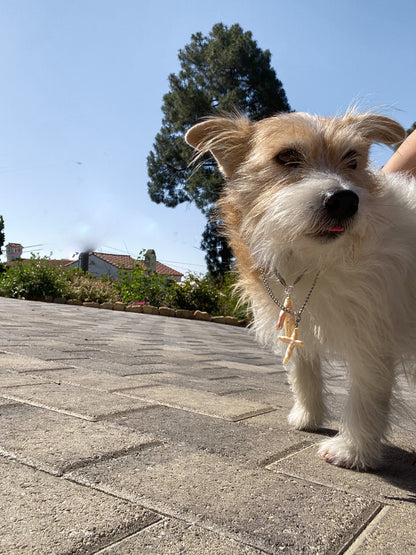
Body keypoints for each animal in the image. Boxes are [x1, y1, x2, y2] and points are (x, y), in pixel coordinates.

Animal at [185, 111, 416, 472]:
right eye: (287, 156)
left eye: (352, 159)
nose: (345, 200)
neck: (316, 258)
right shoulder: (295, 319)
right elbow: (303, 370)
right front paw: (308, 416)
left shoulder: (373, 334)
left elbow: (367, 393)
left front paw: (352, 451)